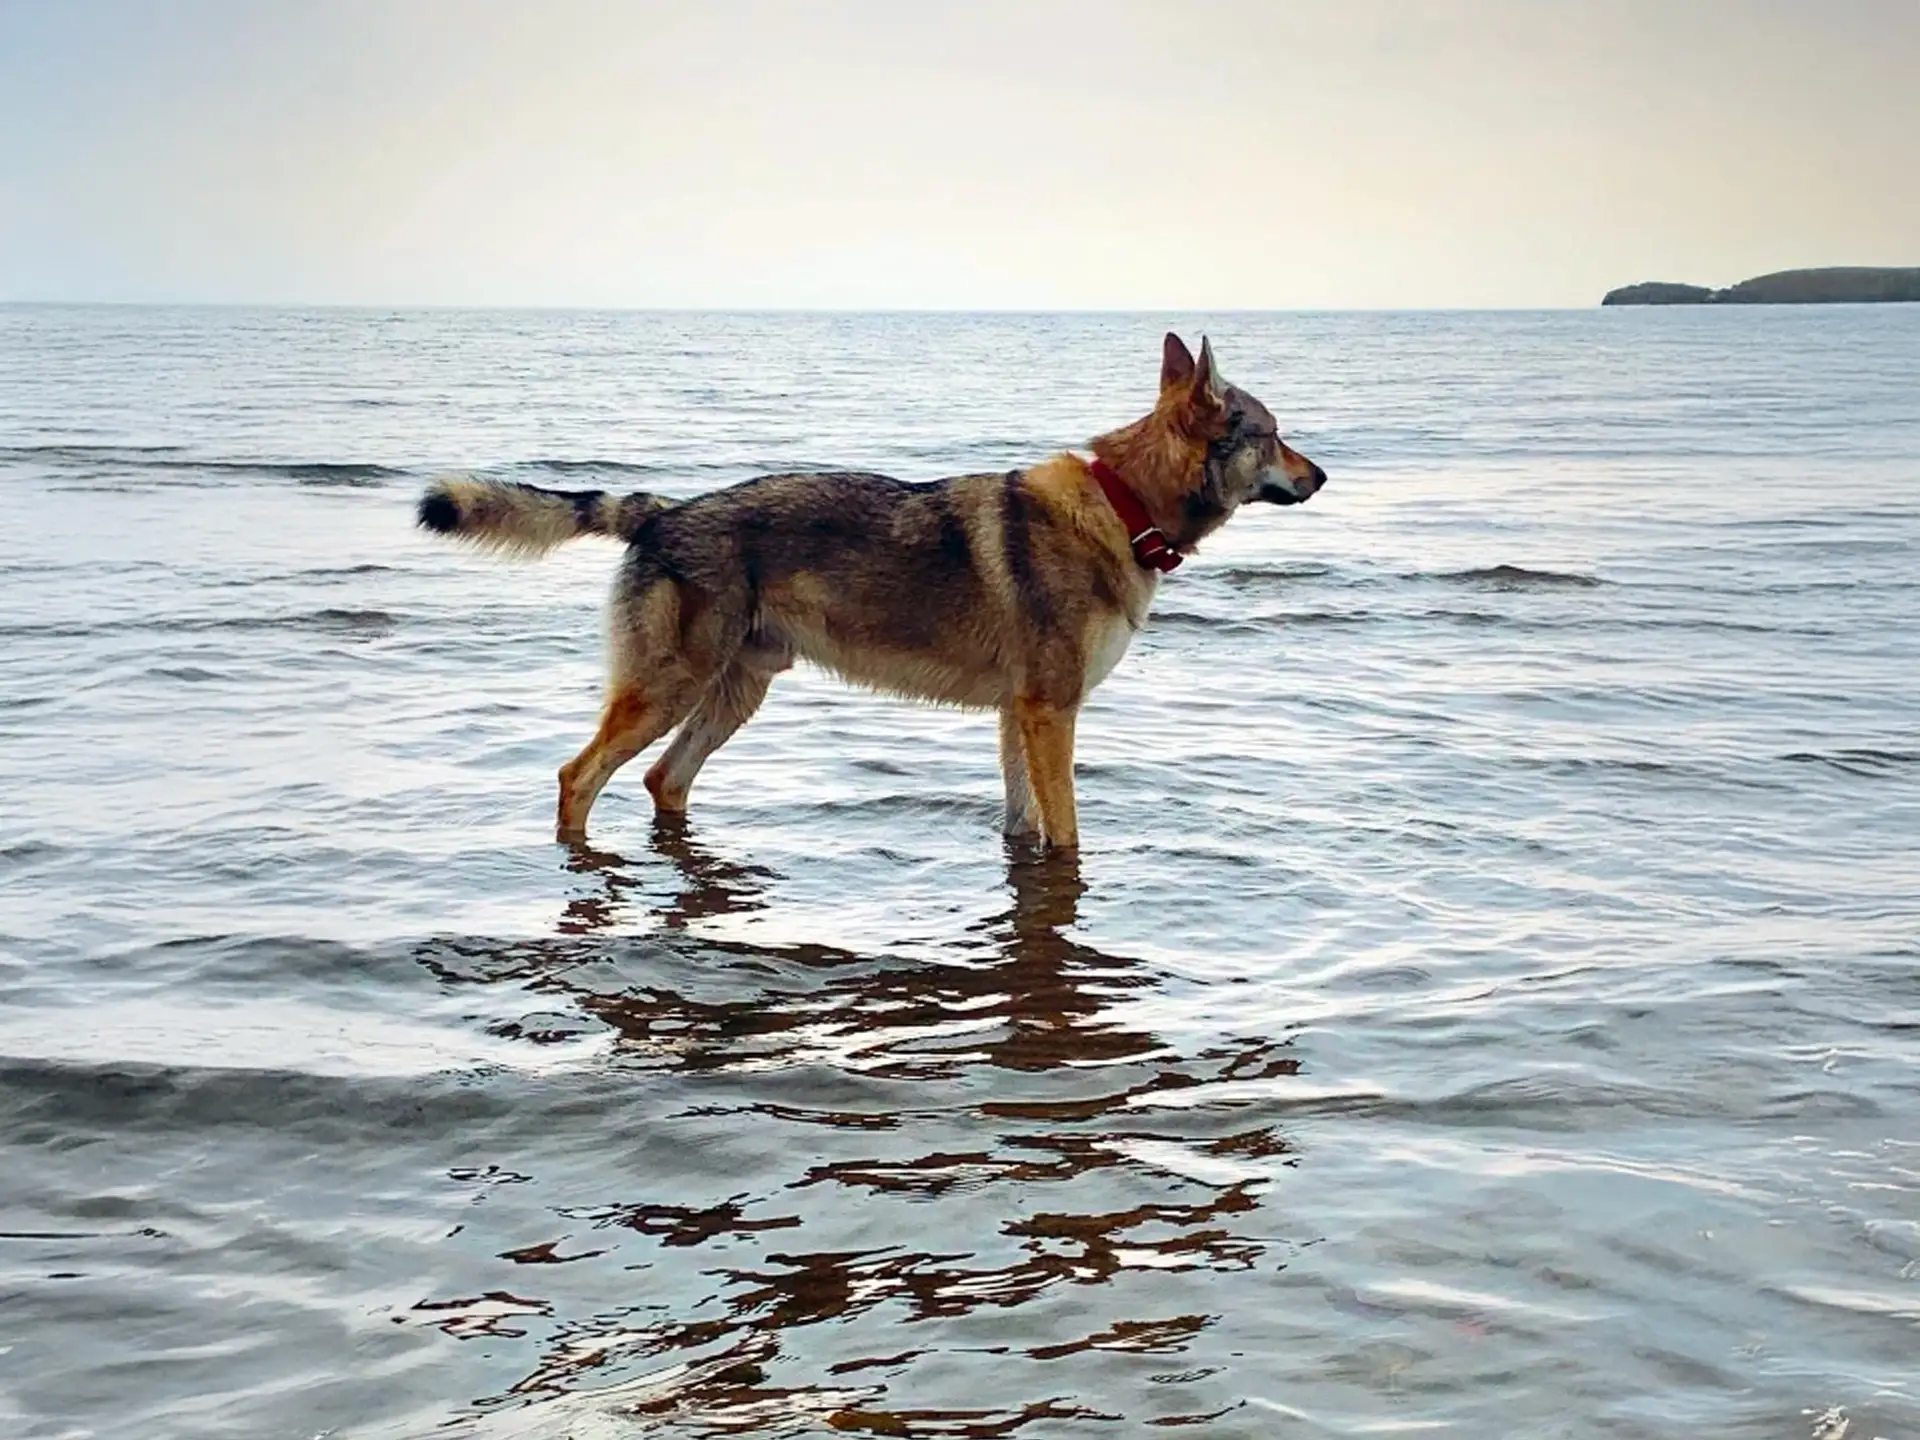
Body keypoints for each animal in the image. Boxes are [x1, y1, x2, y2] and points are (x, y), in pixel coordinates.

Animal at [416, 332, 1320, 852]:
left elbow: (1025, 827)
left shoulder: (1017, 716)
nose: (1322, 476)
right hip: (669, 693)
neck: (1123, 507)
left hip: (732, 698)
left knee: (663, 782)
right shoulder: (1050, 713)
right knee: (578, 777)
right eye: (1274, 435)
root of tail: (665, 511)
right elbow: (1066, 837)